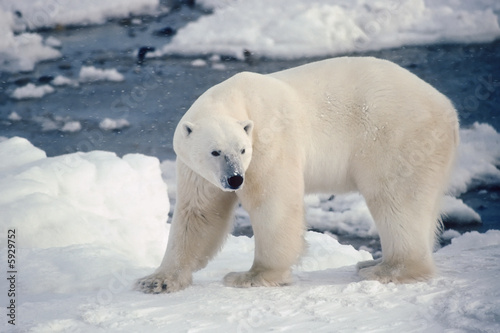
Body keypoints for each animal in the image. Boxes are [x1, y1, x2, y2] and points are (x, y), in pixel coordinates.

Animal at [135, 57, 458, 294]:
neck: (236, 97)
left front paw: (251, 275)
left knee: (396, 197)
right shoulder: (195, 168)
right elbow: (199, 213)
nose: (235, 179)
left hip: (396, 135)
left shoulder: (269, 140)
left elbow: (272, 202)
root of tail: (447, 107)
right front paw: (157, 280)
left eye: (242, 149)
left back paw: (386, 268)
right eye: (215, 152)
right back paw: (373, 262)